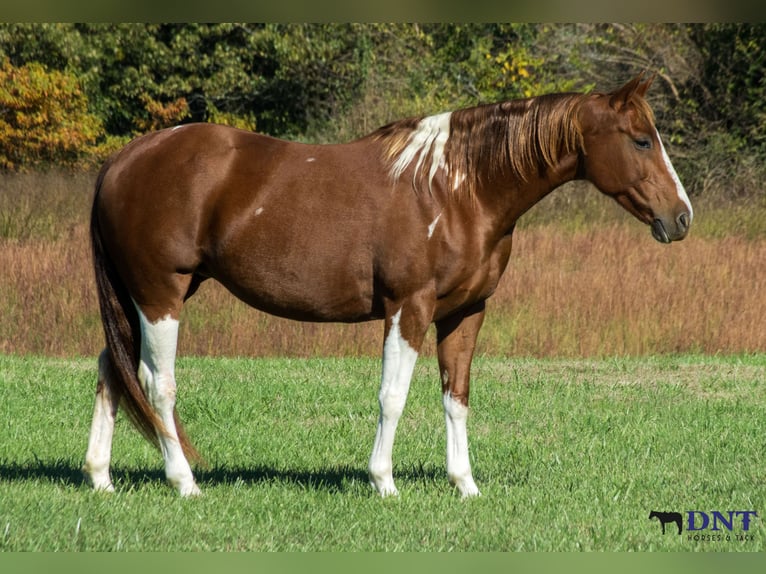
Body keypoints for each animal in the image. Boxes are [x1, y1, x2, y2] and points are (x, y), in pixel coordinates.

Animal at [83, 73, 692, 497]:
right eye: (642, 141)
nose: (682, 217)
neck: (457, 189)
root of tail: (125, 159)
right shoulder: (409, 307)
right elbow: (392, 395)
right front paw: (383, 482)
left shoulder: (466, 312)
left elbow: (456, 397)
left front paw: (465, 485)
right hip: (160, 294)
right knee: (156, 382)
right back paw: (184, 482)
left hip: (145, 297)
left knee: (112, 366)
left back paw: (100, 477)